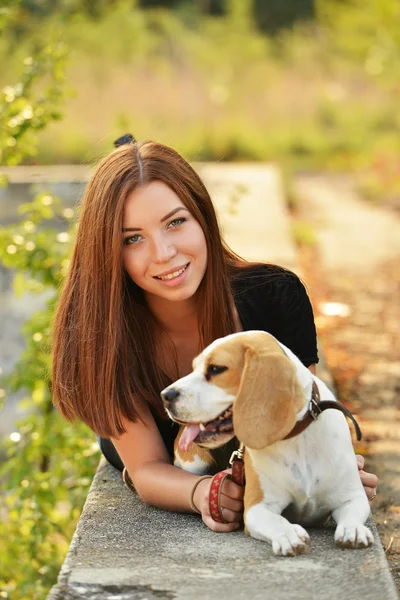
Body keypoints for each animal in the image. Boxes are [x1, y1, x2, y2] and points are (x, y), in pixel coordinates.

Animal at [161, 330, 374, 556]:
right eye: (194, 368)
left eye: (216, 369)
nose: (165, 395)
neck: (296, 440)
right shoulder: (257, 507)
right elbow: (276, 522)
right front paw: (288, 534)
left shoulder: (352, 496)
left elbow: (353, 512)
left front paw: (354, 529)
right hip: (194, 463)